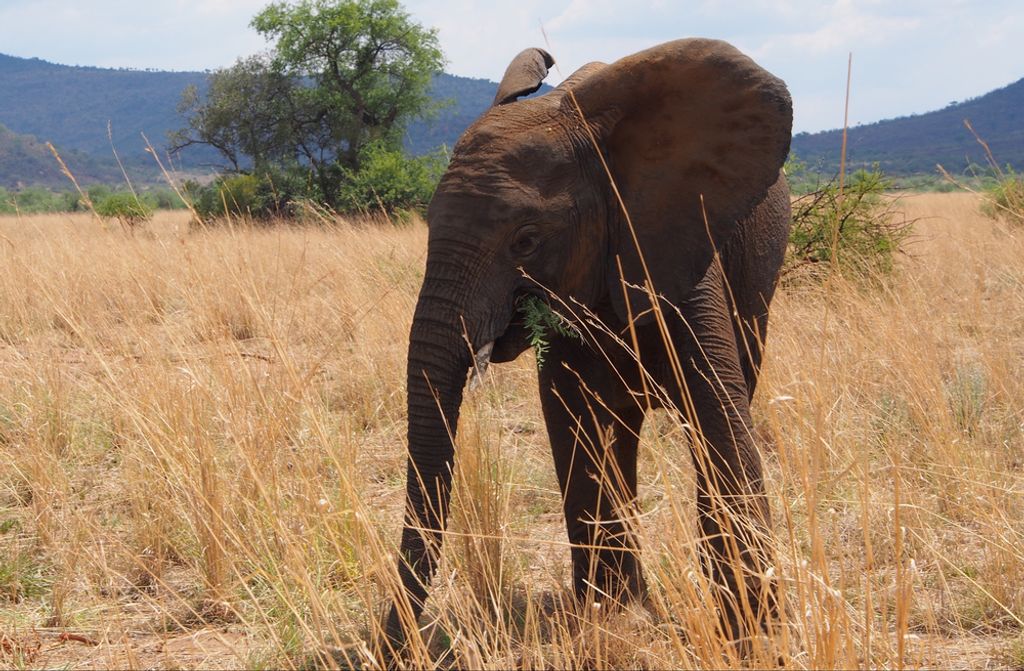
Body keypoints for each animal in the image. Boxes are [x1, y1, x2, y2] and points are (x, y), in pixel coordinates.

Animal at [382, 37, 793, 655]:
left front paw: (751, 636)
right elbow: (574, 421)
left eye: (526, 240)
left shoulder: (677, 246)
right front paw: (612, 617)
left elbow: (719, 415)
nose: (395, 646)